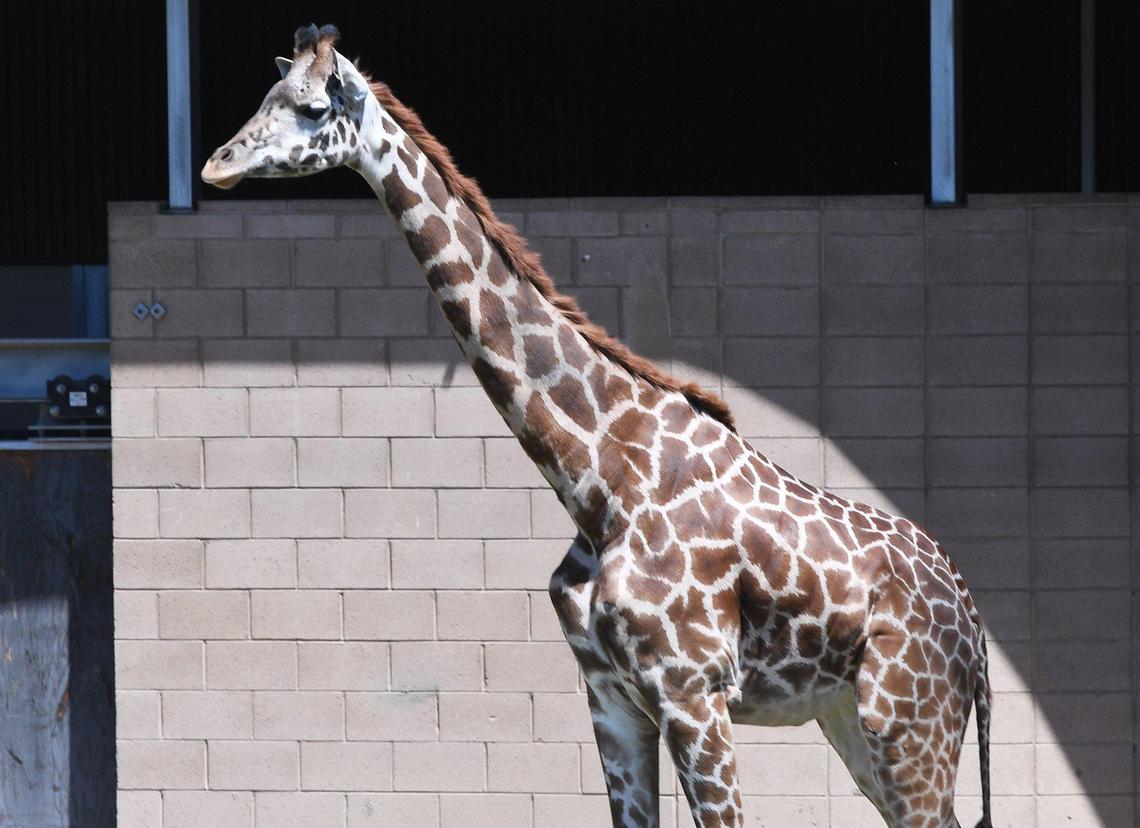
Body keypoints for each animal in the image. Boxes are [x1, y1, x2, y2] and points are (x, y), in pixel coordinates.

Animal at [201, 25, 993, 828]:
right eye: (264, 96)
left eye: (311, 107)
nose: (215, 164)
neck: (595, 477)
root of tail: (973, 622)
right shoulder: (610, 695)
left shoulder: (692, 691)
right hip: (853, 723)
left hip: (908, 719)